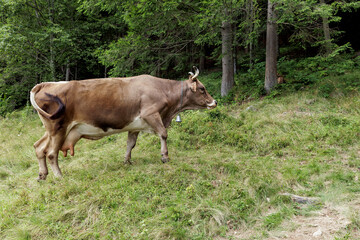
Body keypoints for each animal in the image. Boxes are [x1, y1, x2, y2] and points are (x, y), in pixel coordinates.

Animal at [30, 66, 217, 179]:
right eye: (202, 89)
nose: (214, 102)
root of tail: (45, 84)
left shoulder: (135, 125)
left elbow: (130, 143)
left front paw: (127, 161)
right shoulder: (151, 114)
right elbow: (163, 134)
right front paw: (165, 156)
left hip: (53, 130)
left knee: (39, 147)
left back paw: (42, 175)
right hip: (58, 128)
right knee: (51, 153)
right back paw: (59, 176)